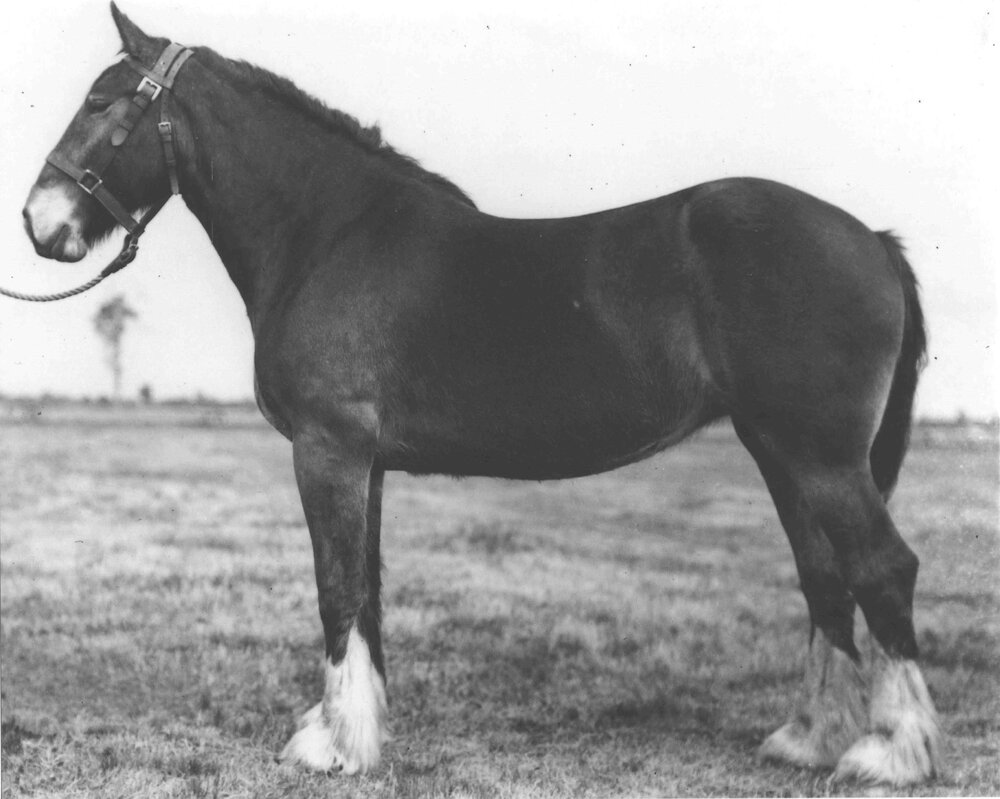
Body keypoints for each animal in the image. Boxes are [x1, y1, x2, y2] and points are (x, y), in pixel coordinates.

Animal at [21, 4, 940, 785]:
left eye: (102, 101)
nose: (39, 221)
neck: (328, 234)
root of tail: (869, 238)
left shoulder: (328, 452)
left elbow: (336, 585)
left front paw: (332, 745)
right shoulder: (365, 464)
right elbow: (369, 588)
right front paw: (358, 731)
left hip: (821, 457)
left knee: (882, 569)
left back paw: (889, 752)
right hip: (780, 452)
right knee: (825, 577)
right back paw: (807, 738)